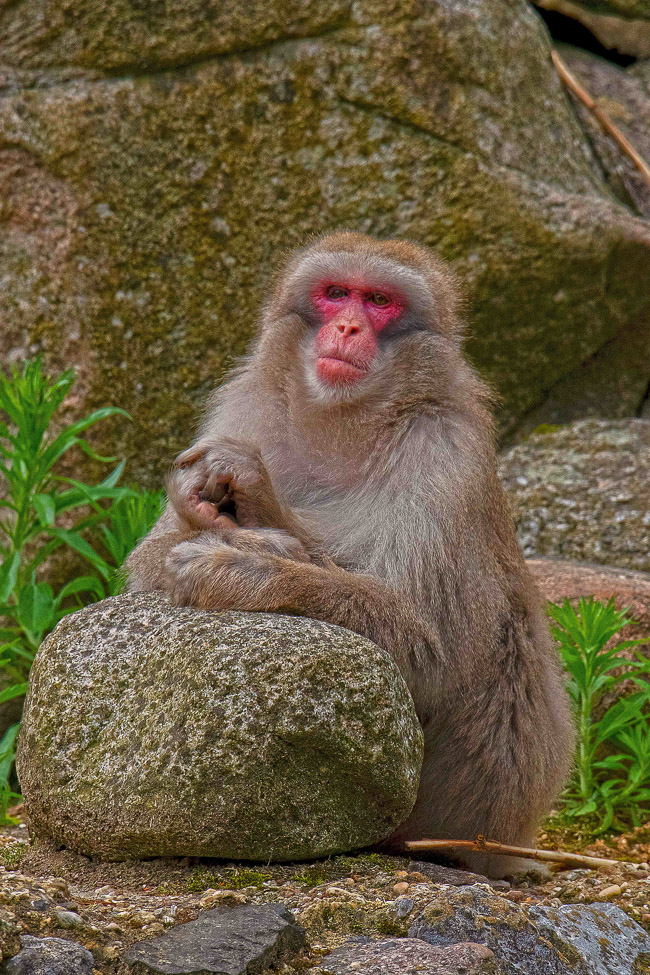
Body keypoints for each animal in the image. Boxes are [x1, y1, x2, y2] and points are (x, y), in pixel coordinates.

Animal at [127, 232, 575, 878]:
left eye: (380, 301)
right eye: (336, 292)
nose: (347, 327)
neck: (342, 425)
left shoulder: (446, 454)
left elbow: (433, 649)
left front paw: (253, 563)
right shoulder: (244, 408)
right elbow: (145, 572)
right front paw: (221, 506)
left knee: (505, 628)